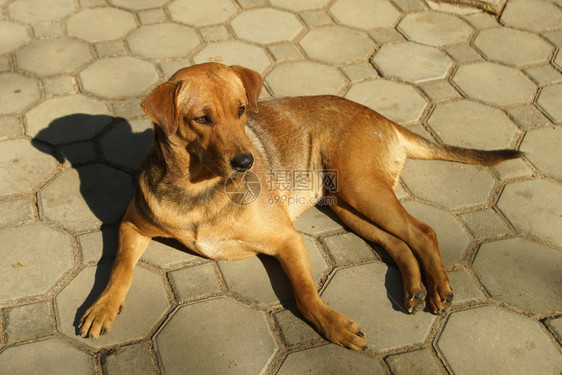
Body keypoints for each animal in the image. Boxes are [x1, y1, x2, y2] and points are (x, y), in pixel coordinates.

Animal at [79, 63, 520, 352]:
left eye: (242, 110)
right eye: (201, 119)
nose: (246, 163)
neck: (199, 188)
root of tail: (379, 115)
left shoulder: (286, 239)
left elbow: (305, 294)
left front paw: (334, 326)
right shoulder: (131, 225)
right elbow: (119, 269)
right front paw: (102, 307)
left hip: (360, 188)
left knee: (422, 231)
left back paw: (439, 287)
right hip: (344, 201)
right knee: (398, 242)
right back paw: (413, 288)